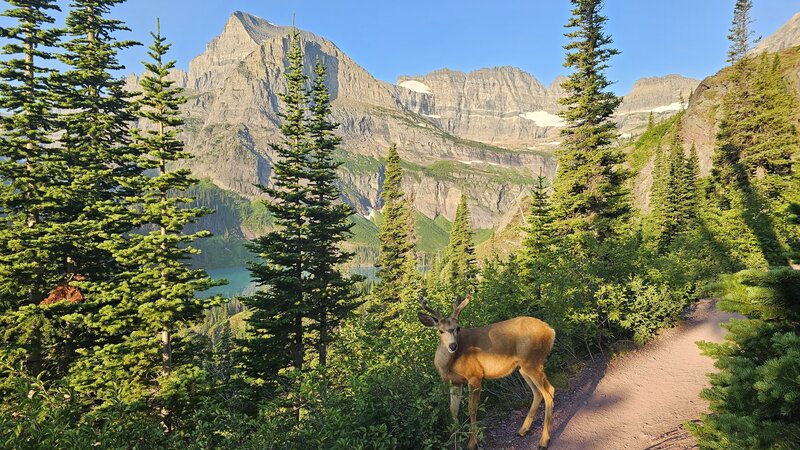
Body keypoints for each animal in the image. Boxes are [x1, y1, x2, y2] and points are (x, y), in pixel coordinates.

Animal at [418, 296, 556, 450]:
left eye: (458, 328)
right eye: (440, 331)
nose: (453, 346)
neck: (449, 364)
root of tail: (550, 331)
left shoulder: (475, 376)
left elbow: (472, 409)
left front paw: (472, 442)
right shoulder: (455, 382)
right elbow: (453, 410)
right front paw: (454, 441)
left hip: (532, 361)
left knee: (549, 391)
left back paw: (543, 440)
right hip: (524, 367)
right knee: (537, 392)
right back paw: (523, 430)